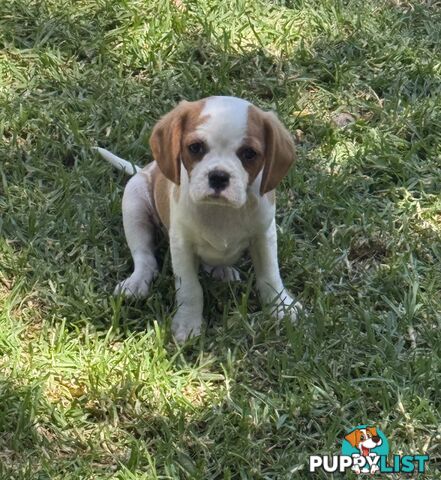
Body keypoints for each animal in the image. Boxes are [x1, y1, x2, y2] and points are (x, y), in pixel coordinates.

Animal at [96, 94, 300, 342]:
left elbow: (270, 274)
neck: (220, 211)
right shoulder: (181, 245)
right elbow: (190, 289)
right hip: (134, 202)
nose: (219, 176)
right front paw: (188, 323)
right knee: (145, 258)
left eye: (249, 154)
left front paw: (281, 306)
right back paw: (137, 282)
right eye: (195, 148)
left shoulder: (264, 235)